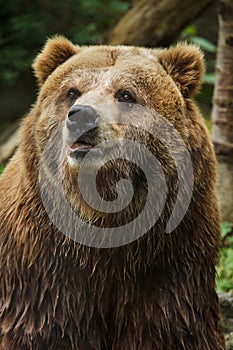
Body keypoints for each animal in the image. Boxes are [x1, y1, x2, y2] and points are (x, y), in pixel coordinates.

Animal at [0, 36, 226, 350]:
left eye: (126, 94)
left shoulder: (173, 255)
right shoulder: (42, 265)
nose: (81, 116)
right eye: (72, 91)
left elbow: (172, 328)